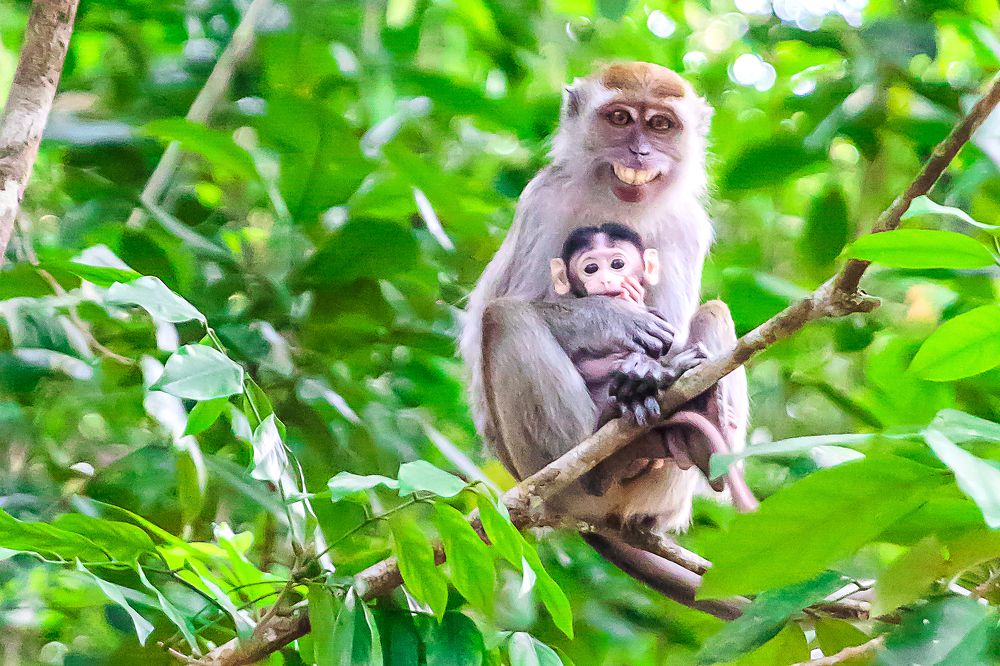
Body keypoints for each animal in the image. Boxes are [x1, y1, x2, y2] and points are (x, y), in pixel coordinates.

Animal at [549, 222, 758, 512]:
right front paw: (642, 373)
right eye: (590, 268)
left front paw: (646, 370)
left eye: (617, 264)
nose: (606, 279)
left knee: (714, 310)